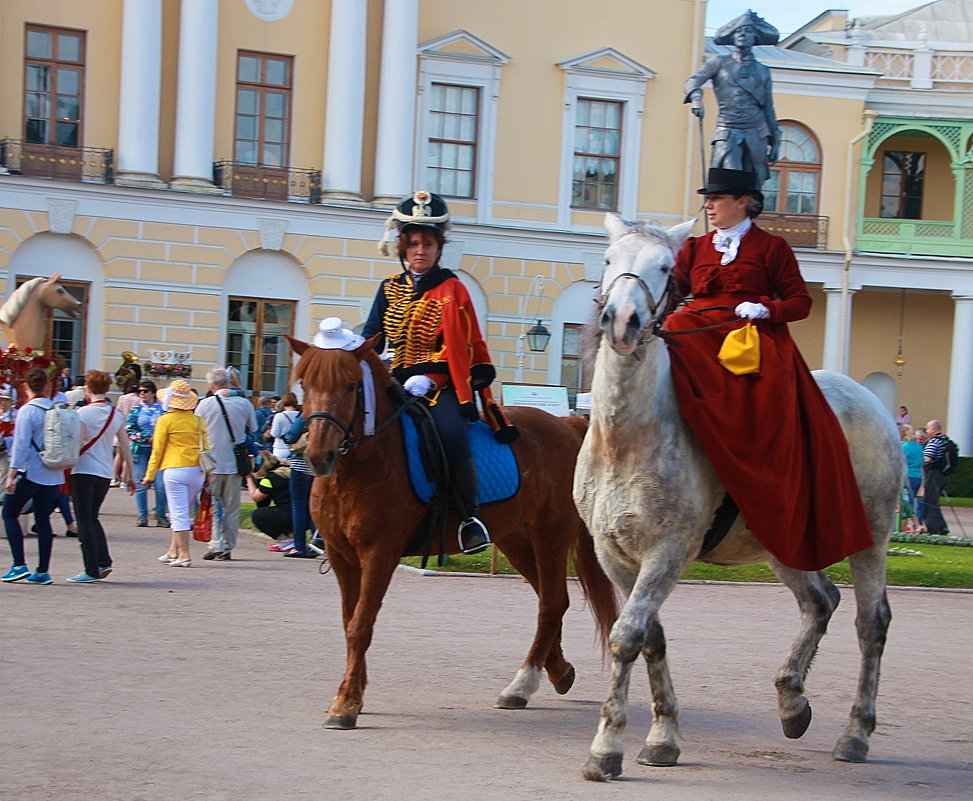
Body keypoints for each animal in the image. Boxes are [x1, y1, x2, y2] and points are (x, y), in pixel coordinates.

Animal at [286, 334, 616, 728]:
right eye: (306, 384)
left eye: (351, 385)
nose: (318, 455)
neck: (361, 467)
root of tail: (567, 424)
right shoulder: (341, 555)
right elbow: (349, 620)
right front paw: (354, 691)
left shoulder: (379, 553)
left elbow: (360, 624)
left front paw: (347, 703)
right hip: (515, 539)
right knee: (551, 600)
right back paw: (557, 670)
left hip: (551, 535)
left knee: (552, 603)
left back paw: (522, 684)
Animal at [572, 212, 900, 780]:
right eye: (610, 259)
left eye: (665, 267)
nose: (622, 322)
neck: (627, 438)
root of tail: (871, 400)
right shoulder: (613, 554)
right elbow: (651, 636)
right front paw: (662, 736)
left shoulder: (669, 551)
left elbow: (628, 636)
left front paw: (607, 747)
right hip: (784, 542)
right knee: (820, 601)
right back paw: (792, 701)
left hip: (871, 540)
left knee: (870, 622)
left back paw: (856, 733)